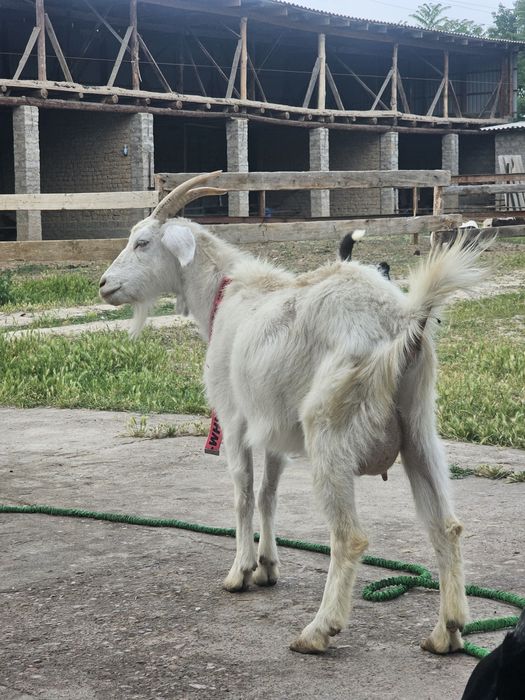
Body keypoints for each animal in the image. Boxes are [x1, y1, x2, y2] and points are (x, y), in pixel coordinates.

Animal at [100, 171, 489, 655]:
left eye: (143, 242)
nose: (104, 285)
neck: (226, 294)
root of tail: (402, 320)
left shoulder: (234, 418)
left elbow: (243, 493)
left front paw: (240, 572)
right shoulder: (272, 427)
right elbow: (269, 492)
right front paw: (268, 565)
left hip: (330, 428)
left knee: (350, 537)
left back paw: (319, 631)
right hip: (418, 425)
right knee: (446, 526)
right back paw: (446, 631)